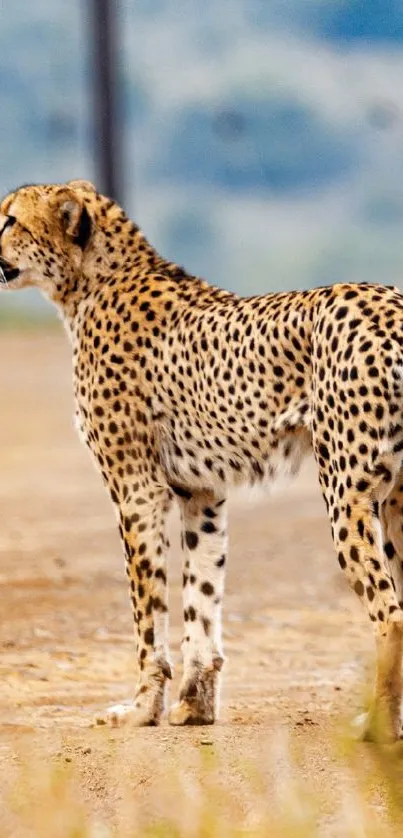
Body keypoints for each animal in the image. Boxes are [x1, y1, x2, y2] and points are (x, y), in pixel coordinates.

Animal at [0, 179, 403, 740]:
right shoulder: (202, 492)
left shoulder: (136, 488)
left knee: (391, 615)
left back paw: (379, 726)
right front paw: (195, 706)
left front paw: (142, 709)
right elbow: (202, 595)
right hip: (396, 499)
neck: (90, 281)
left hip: (349, 496)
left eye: (10, 219)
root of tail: (390, 302)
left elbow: (149, 611)